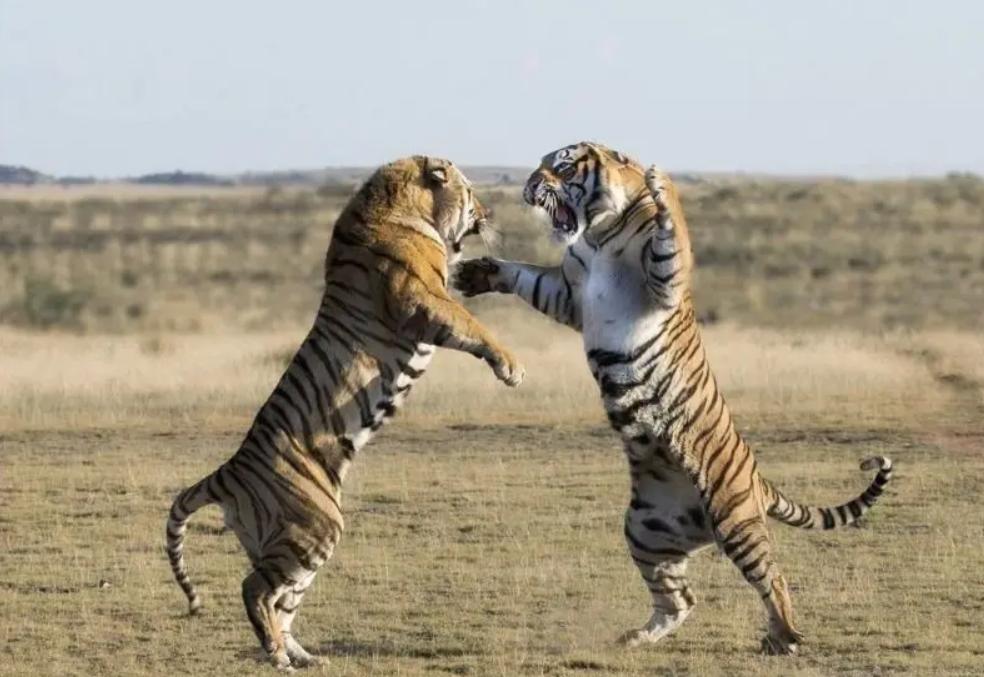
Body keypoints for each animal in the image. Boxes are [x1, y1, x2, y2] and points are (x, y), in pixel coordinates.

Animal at [166, 155, 524, 671]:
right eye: (471, 191)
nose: (490, 211)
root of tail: (228, 470)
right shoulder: (421, 300)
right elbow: (473, 325)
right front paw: (510, 367)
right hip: (316, 526)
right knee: (255, 589)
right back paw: (277, 656)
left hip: (293, 542)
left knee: (282, 601)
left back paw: (303, 656)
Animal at [452, 141, 893, 655]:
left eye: (561, 165)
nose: (528, 183)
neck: (597, 234)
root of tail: (756, 479)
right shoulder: (567, 293)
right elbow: (528, 277)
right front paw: (477, 272)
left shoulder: (661, 279)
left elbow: (673, 233)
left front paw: (662, 183)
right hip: (645, 529)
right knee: (680, 599)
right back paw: (637, 637)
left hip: (733, 519)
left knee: (773, 579)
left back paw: (784, 637)